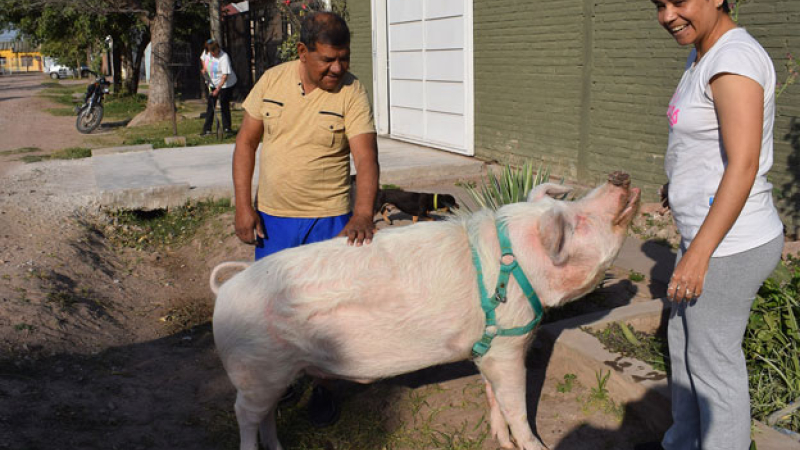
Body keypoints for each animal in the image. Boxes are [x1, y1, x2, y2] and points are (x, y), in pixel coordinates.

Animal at [210, 171, 640, 450]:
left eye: (572, 204)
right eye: (578, 220)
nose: (620, 176)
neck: (516, 263)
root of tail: (226, 289)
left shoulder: (488, 349)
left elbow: (493, 397)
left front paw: (501, 442)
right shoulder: (508, 342)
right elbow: (517, 407)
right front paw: (536, 446)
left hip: (275, 374)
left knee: (266, 415)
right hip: (255, 369)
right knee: (244, 414)